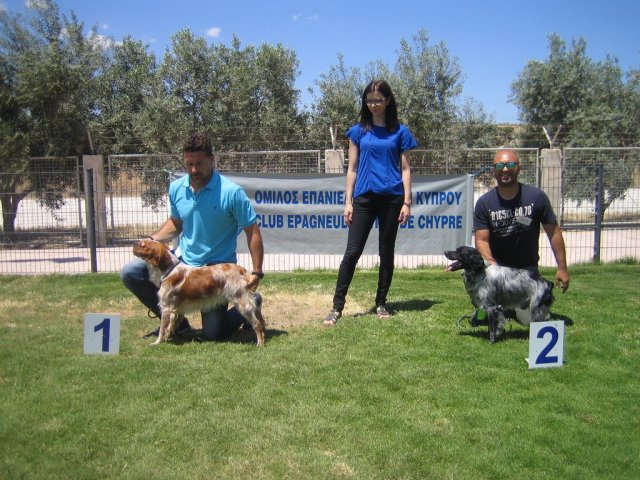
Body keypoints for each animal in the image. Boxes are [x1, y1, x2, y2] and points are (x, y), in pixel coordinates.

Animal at [132, 239, 264, 344]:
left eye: (144, 245)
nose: (133, 243)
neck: (169, 270)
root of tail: (240, 268)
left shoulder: (166, 307)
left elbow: (163, 329)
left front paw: (157, 342)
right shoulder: (177, 309)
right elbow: (172, 325)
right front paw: (170, 336)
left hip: (241, 303)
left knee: (257, 325)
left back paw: (259, 344)